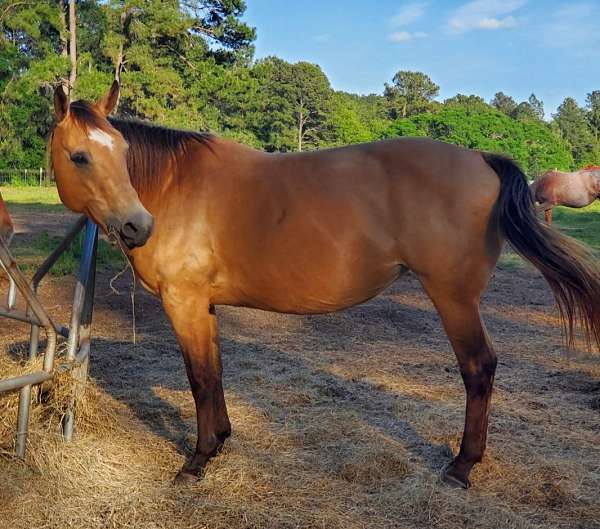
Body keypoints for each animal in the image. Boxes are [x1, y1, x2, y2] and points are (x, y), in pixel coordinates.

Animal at [48, 80, 600, 488]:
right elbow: (216, 373)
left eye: (120, 151)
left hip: (454, 298)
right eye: (81, 155)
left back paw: (461, 466)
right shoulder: (204, 305)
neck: (172, 184)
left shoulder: (183, 303)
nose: (137, 225)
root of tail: (482, 158)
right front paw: (221, 439)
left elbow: (200, 378)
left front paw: (198, 460)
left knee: (479, 368)